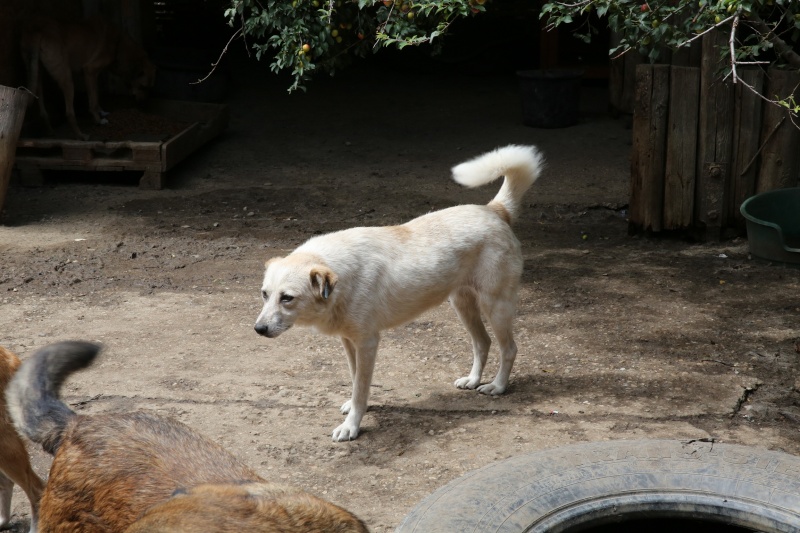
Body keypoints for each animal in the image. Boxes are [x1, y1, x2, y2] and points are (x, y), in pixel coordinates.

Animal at [21, 16, 157, 140]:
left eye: (150, 88)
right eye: (143, 87)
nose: (143, 104)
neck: (118, 44)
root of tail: (37, 28)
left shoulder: (92, 76)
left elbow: (95, 96)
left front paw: (102, 112)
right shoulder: (90, 71)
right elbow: (93, 101)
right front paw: (99, 120)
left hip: (37, 74)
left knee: (42, 110)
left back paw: (50, 131)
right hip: (67, 78)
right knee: (69, 112)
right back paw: (81, 135)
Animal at [255, 143, 544, 438]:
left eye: (287, 298)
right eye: (265, 294)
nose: (258, 329)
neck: (341, 277)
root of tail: (494, 210)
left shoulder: (368, 343)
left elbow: (361, 386)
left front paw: (352, 426)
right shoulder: (349, 341)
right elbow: (355, 379)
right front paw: (356, 408)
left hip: (495, 306)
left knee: (509, 349)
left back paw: (497, 386)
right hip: (462, 305)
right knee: (482, 342)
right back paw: (473, 380)